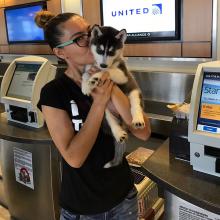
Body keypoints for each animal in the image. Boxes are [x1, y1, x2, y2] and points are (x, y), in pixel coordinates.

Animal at [81, 24, 144, 167]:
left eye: (111, 52)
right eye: (99, 50)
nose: (103, 64)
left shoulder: (123, 74)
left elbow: (109, 71)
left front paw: (96, 76)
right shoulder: (90, 66)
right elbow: (85, 73)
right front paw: (86, 84)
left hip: (134, 91)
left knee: (135, 105)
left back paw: (138, 119)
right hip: (103, 107)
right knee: (111, 120)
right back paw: (118, 133)